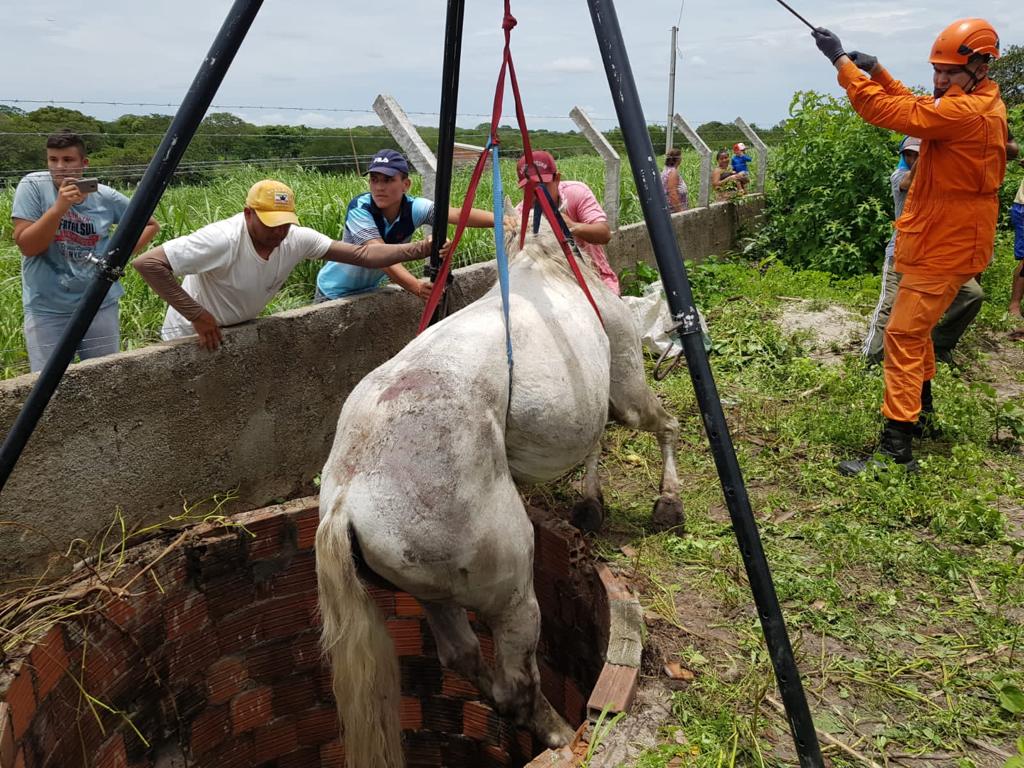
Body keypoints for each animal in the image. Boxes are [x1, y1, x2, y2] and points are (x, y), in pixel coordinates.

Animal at [311, 207, 679, 765]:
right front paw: (667, 500)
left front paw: (592, 503)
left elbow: (597, 439)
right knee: (516, 683)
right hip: (510, 592)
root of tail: (345, 499)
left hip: (432, 592)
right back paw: (560, 733)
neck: (547, 266)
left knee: (461, 655)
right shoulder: (624, 382)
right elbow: (659, 424)